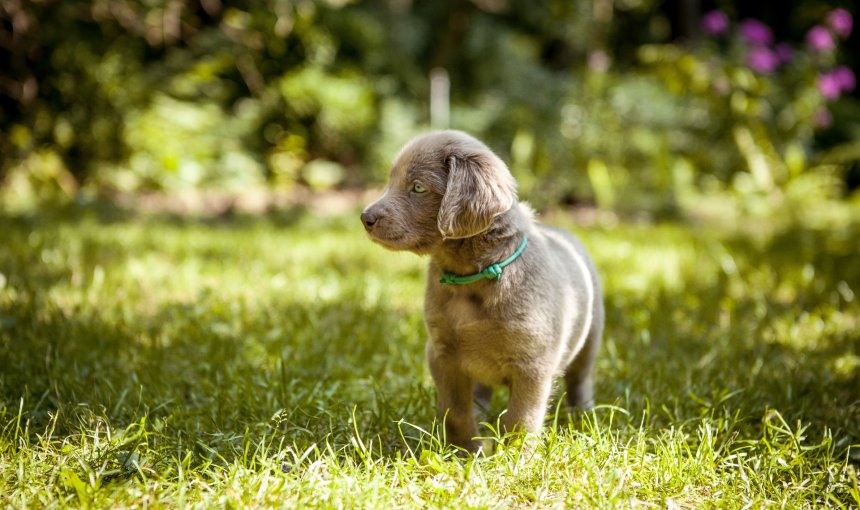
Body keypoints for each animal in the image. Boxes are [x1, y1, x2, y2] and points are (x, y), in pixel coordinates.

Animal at [360, 130, 600, 450]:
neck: (469, 280)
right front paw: (464, 450)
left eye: (418, 187)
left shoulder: (533, 364)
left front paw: (515, 456)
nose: (365, 218)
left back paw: (583, 416)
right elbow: (455, 411)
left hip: (590, 336)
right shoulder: (442, 353)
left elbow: (521, 419)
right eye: (391, 181)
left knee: (580, 379)